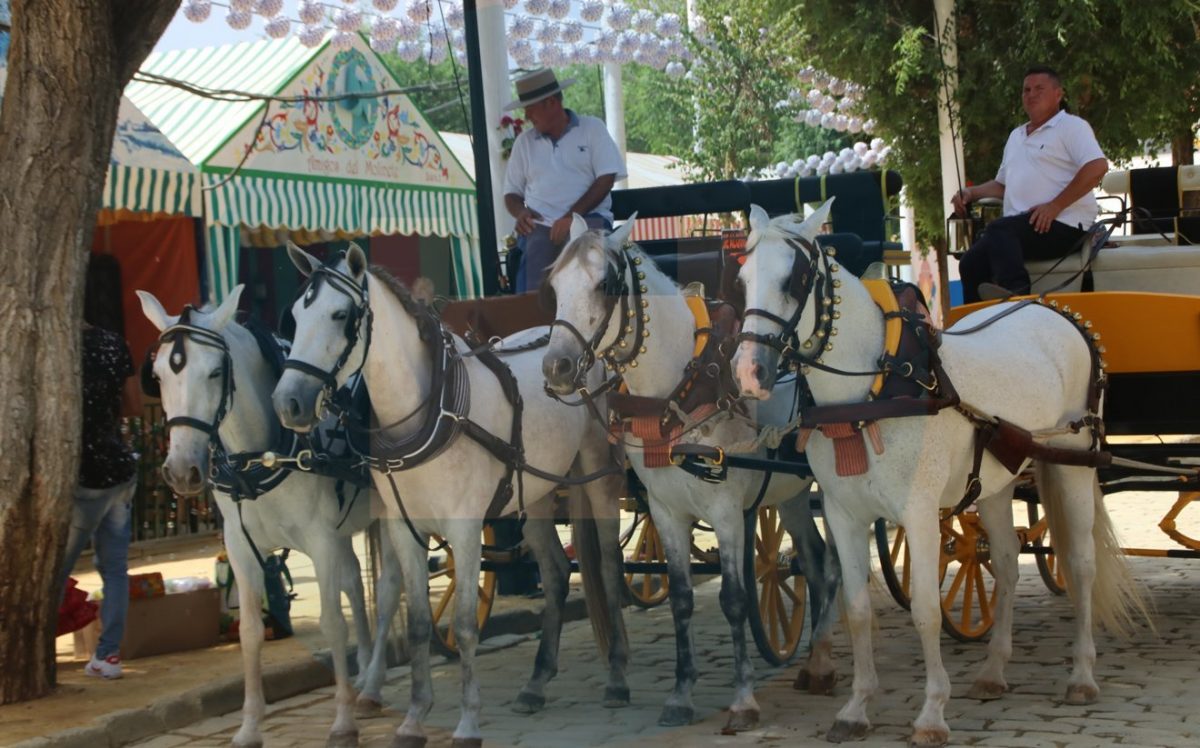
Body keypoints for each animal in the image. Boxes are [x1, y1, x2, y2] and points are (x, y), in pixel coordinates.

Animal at [137, 288, 403, 748]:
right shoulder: (241, 548)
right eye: (158, 375)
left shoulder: (320, 539)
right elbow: (249, 632)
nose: (182, 470)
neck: (261, 455)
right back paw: (364, 676)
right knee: (355, 582)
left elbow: (333, 623)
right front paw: (249, 726)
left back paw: (368, 687)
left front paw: (342, 722)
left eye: (215, 372)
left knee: (387, 590)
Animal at [270, 246, 628, 748]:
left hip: (598, 474)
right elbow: (421, 622)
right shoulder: (405, 529)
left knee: (611, 567)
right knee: (556, 572)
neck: (427, 411)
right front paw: (414, 718)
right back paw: (536, 682)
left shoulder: (465, 528)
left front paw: (467, 722)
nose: (289, 403)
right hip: (534, 488)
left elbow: (462, 624)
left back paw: (616, 676)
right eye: (296, 316)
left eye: (341, 316)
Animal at [544, 214, 844, 729]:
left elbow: (734, 599)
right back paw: (817, 661)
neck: (677, 389)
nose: (555, 366)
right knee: (817, 561)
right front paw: (681, 695)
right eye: (554, 286)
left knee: (841, 562)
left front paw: (743, 699)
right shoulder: (666, 511)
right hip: (790, 492)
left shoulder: (726, 511)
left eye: (605, 285)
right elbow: (682, 598)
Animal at [729, 201, 1142, 744]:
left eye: (795, 279)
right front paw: (856, 707)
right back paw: (994, 669)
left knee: (1080, 564)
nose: (749, 373)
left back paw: (1082, 675)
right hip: (997, 478)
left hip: (1072, 462)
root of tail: (1053, 309)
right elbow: (856, 610)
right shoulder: (843, 513)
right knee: (1006, 564)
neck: (874, 390)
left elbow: (925, 610)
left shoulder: (919, 513)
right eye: (741, 279)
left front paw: (931, 713)